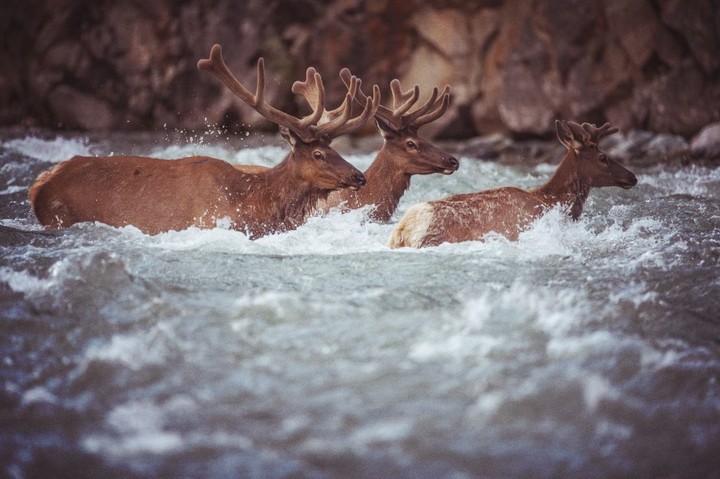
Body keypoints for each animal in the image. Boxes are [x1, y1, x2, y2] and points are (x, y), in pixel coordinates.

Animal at [29, 44, 380, 239]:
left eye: (333, 149)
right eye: (319, 153)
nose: (359, 176)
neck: (251, 203)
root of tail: (39, 185)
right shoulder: (208, 220)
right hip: (59, 214)